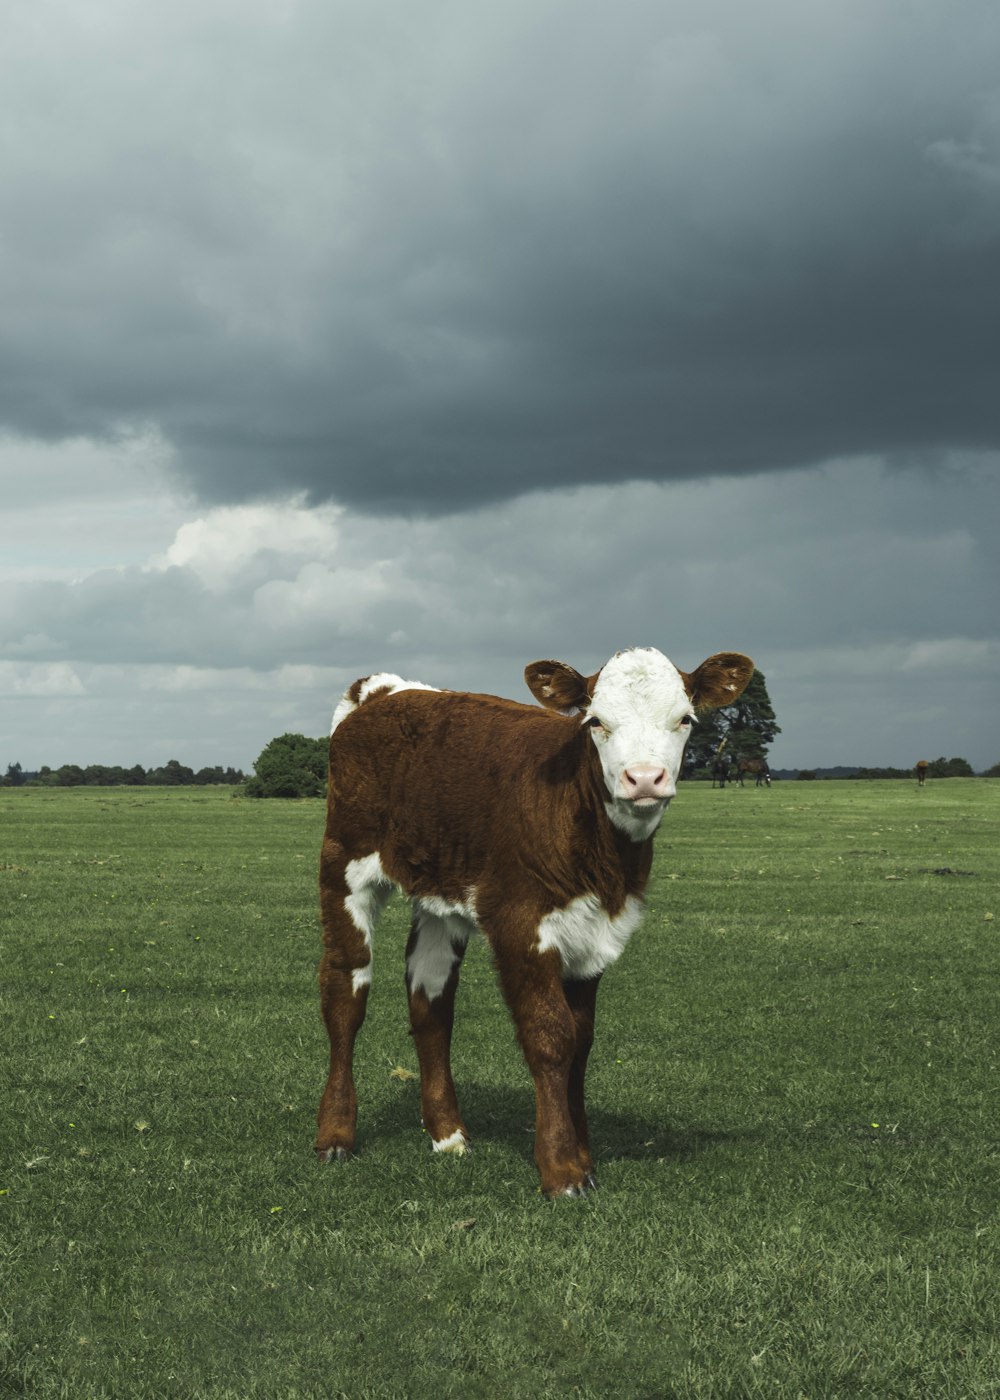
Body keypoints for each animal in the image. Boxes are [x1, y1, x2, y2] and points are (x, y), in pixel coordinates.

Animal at [310, 644, 750, 1192]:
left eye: (685, 718)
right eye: (595, 722)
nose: (645, 778)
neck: (606, 861)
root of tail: (386, 691)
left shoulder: (594, 934)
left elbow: (581, 1041)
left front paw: (583, 1155)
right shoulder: (520, 923)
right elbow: (549, 1036)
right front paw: (562, 1167)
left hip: (441, 889)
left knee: (430, 999)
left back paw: (448, 1134)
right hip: (343, 863)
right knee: (345, 990)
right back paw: (335, 1135)